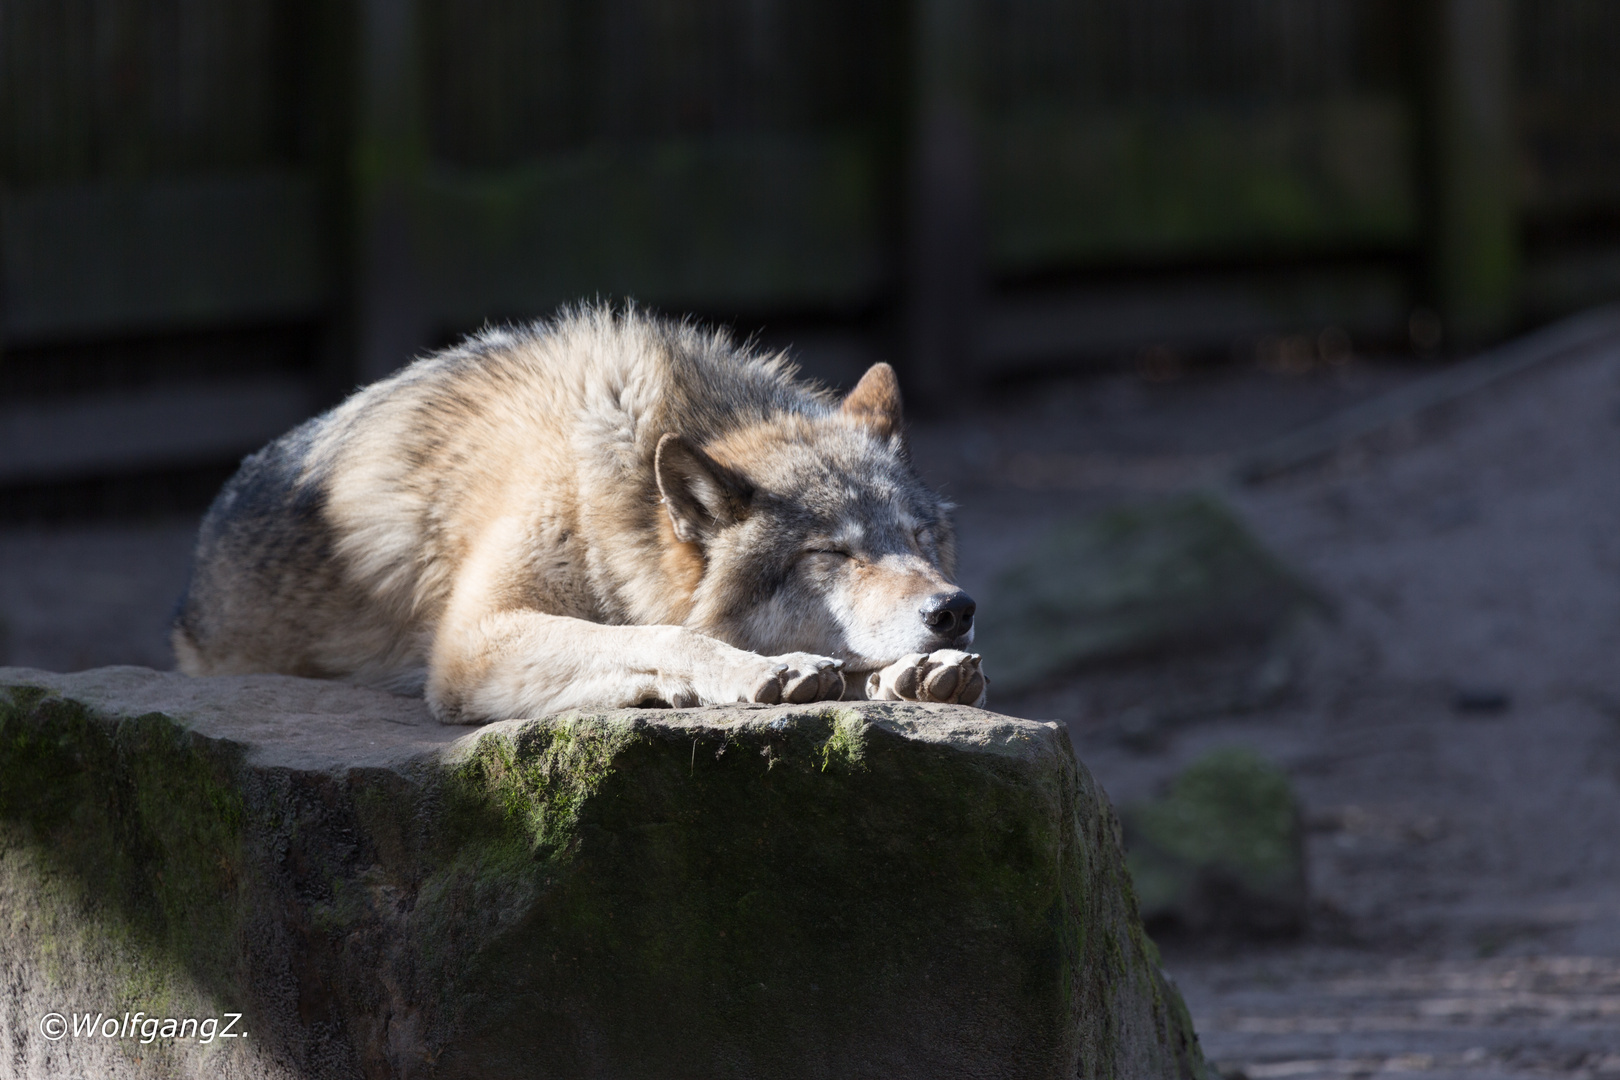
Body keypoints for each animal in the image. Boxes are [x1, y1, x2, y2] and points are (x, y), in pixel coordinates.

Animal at [177, 304, 984, 725]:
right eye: (832, 554)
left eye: (920, 539)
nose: (954, 610)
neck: (606, 504)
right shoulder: (469, 642)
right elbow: (667, 633)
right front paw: (762, 669)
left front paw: (919, 674)